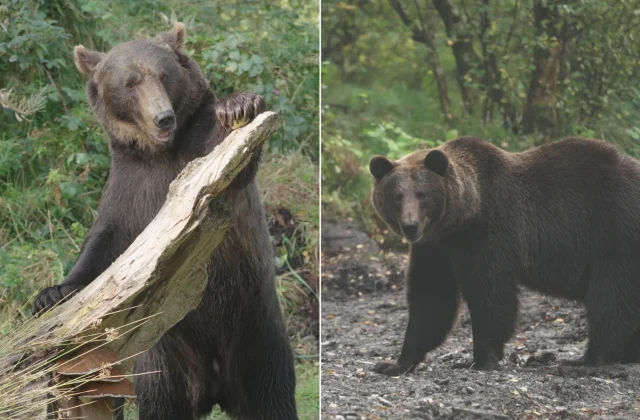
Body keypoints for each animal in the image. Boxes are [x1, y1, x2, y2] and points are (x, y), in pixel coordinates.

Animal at [32, 23, 298, 419]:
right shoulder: (131, 188)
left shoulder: (197, 159)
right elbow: (104, 246)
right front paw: (52, 293)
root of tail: (216, 385)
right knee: (162, 399)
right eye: (130, 82)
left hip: (256, 330)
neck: (161, 153)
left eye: (164, 74)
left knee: (270, 395)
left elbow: (229, 159)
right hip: (165, 355)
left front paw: (239, 104)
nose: (163, 117)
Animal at [369, 136, 640, 376]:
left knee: (610, 297)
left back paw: (591, 358)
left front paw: (480, 359)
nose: (410, 226)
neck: (463, 217)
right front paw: (394, 364)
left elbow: (490, 295)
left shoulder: (492, 231)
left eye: (422, 194)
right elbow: (431, 299)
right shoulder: (436, 247)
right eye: (397, 196)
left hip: (613, 233)